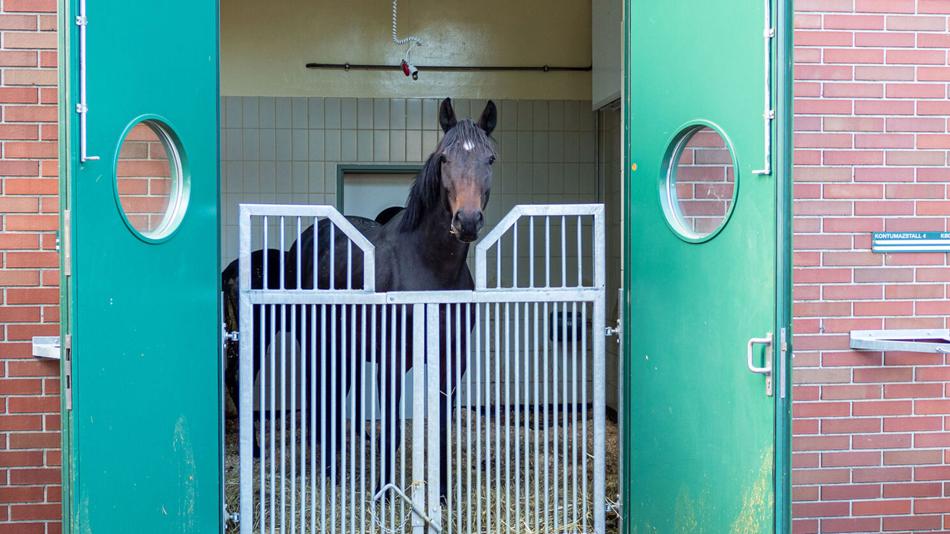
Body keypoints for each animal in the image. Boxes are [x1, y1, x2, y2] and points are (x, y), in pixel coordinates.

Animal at [288, 98, 497, 499]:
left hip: (346, 349)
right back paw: (328, 472)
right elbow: (392, 428)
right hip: (317, 342)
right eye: (444, 158)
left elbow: (441, 427)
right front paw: (384, 493)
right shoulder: (392, 361)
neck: (428, 268)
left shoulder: (452, 363)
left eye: (490, 158)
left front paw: (441, 495)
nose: (467, 221)